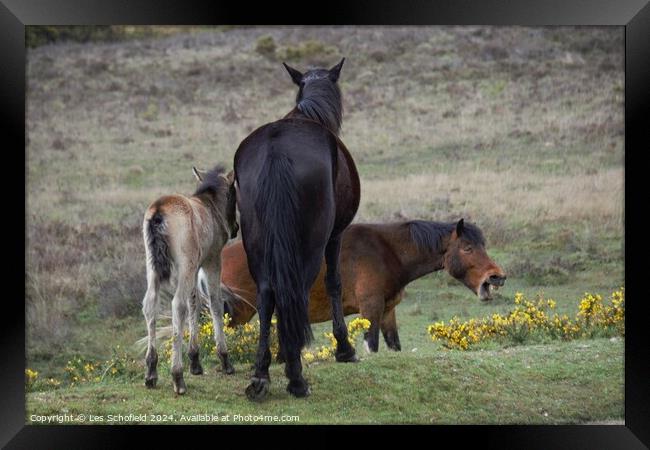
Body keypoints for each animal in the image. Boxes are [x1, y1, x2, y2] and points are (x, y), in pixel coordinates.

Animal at [210, 218, 504, 352]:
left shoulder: (387, 311)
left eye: (482, 245)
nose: (496, 277)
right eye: (467, 248)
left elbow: (394, 346)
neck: (386, 251)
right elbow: (371, 345)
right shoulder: (370, 309)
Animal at [232, 59, 360, 400]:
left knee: (268, 293)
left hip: (256, 242)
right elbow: (334, 283)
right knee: (298, 291)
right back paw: (296, 377)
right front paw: (344, 348)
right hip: (311, 244)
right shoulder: (336, 236)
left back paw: (262, 374)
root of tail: (276, 149)